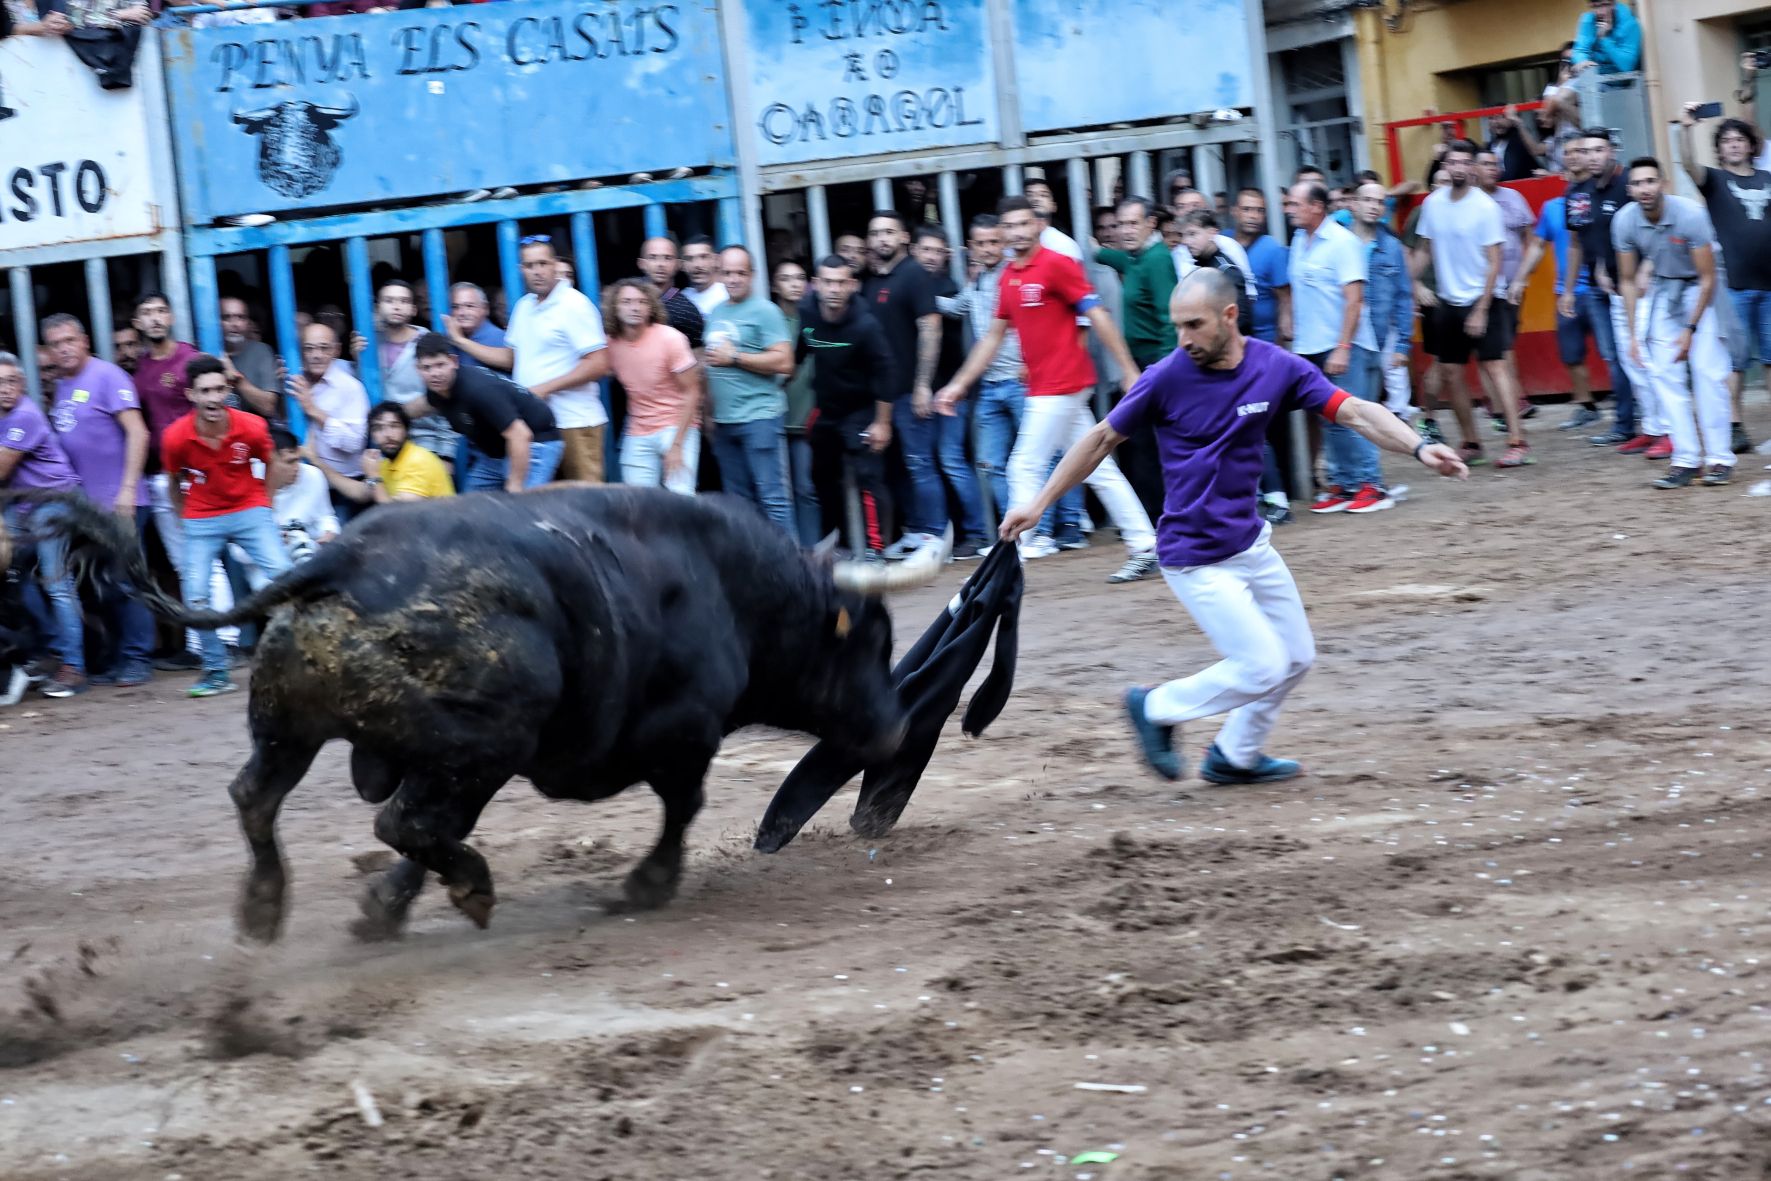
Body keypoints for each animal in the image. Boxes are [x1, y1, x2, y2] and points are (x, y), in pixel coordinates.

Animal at [13, 488, 956, 941]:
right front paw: (647, 884)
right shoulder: (681, 734)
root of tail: (343, 558)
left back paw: (265, 907)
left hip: (306, 728)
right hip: (486, 736)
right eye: (871, 642)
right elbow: (681, 807)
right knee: (403, 820)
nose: (892, 728)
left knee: (262, 798)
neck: (732, 586)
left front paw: (380, 910)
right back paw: (469, 886)